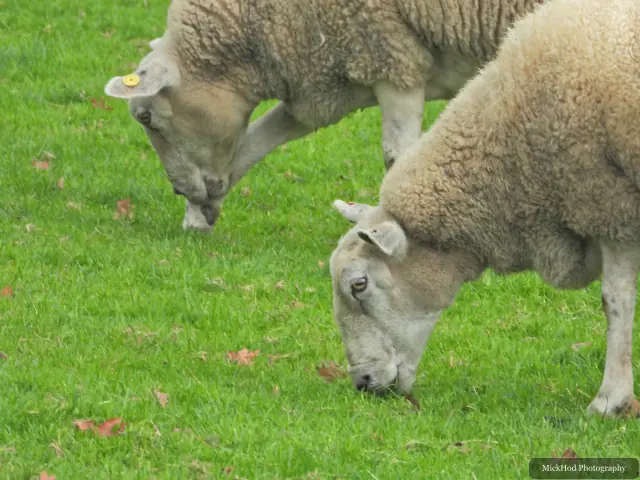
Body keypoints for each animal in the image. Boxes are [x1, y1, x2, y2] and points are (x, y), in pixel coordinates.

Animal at [104, 0, 544, 232]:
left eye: (146, 117)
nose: (181, 192)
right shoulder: (326, 83)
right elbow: (251, 146)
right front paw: (198, 217)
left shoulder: (391, 56)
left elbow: (398, 157)